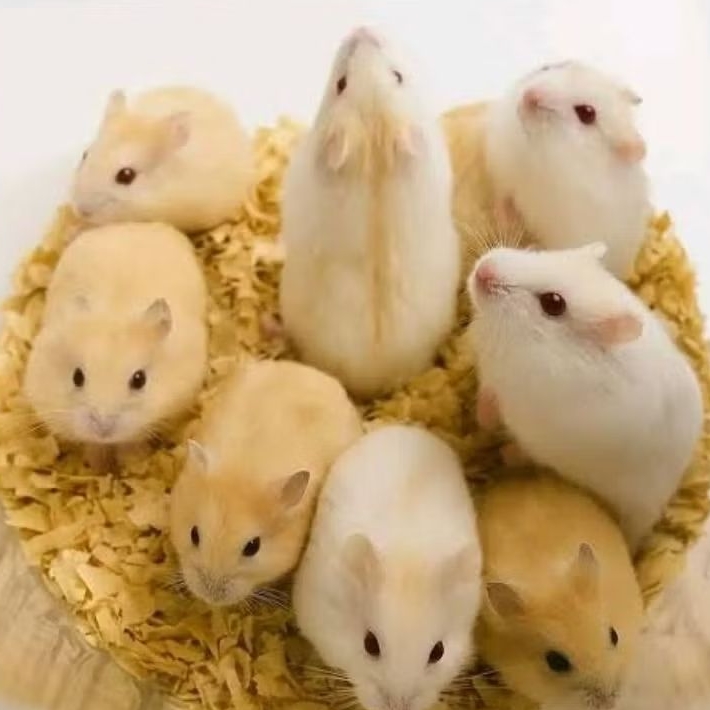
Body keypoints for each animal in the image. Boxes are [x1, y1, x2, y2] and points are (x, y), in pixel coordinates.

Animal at [24, 222, 208, 461]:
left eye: (139, 380)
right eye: (77, 377)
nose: (103, 428)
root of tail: (135, 224)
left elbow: (131, 442)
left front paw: (132, 460)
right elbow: (93, 446)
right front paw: (97, 463)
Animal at [468, 243, 703, 551]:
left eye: (553, 303)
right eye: (539, 253)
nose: (482, 270)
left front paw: (487, 427)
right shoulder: (492, 375)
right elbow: (487, 395)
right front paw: (481, 420)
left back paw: (507, 454)